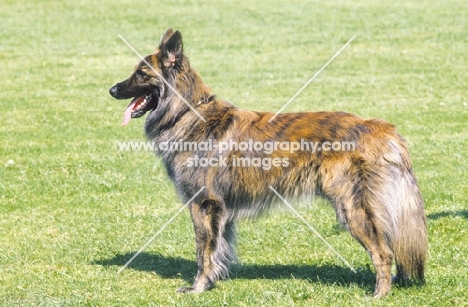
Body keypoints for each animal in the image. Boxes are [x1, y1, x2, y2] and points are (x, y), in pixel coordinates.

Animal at [109, 28, 428, 298]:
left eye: (141, 74)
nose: (112, 90)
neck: (187, 113)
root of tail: (381, 128)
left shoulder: (203, 204)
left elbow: (203, 252)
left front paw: (198, 288)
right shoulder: (222, 211)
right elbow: (220, 248)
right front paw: (214, 281)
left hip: (351, 208)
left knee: (383, 252)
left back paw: (379, 294)